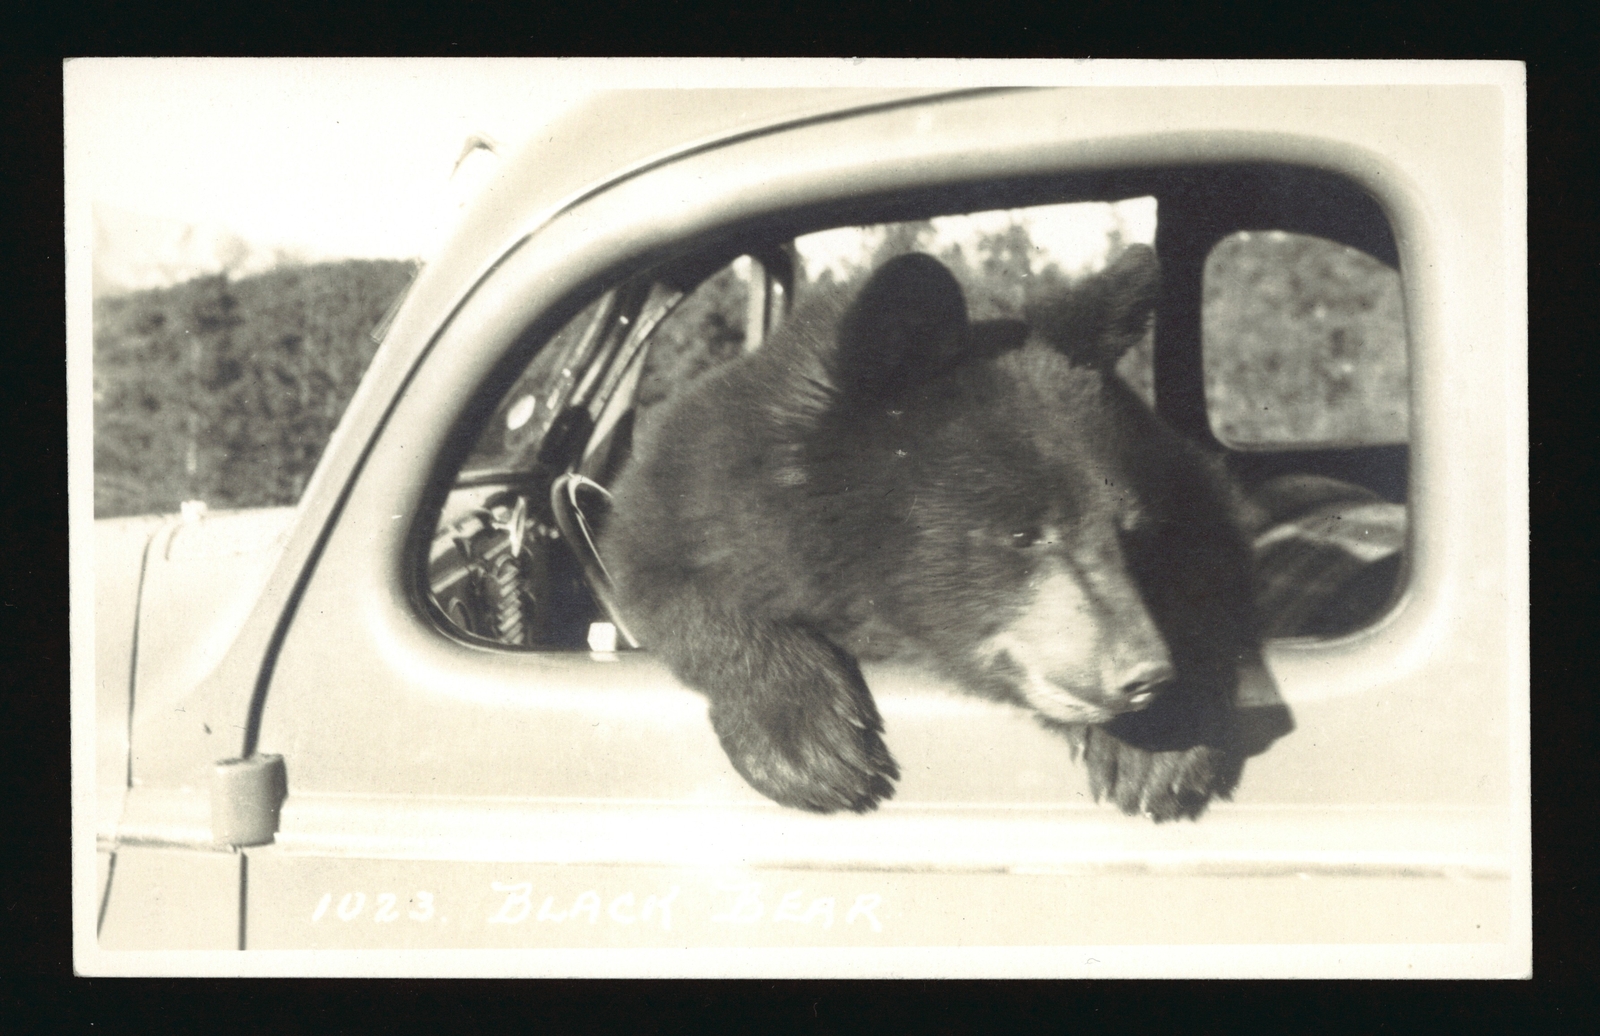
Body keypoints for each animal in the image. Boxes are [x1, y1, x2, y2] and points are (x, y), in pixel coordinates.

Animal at [601, 244, 1262, 821]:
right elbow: (662, 568)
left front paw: (1160, 746)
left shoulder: (1173, 473)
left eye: (1130, 530)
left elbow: (1211, 559)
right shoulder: (699, 489)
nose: (1145, 675)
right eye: (1022, 535)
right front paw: (808, 740)